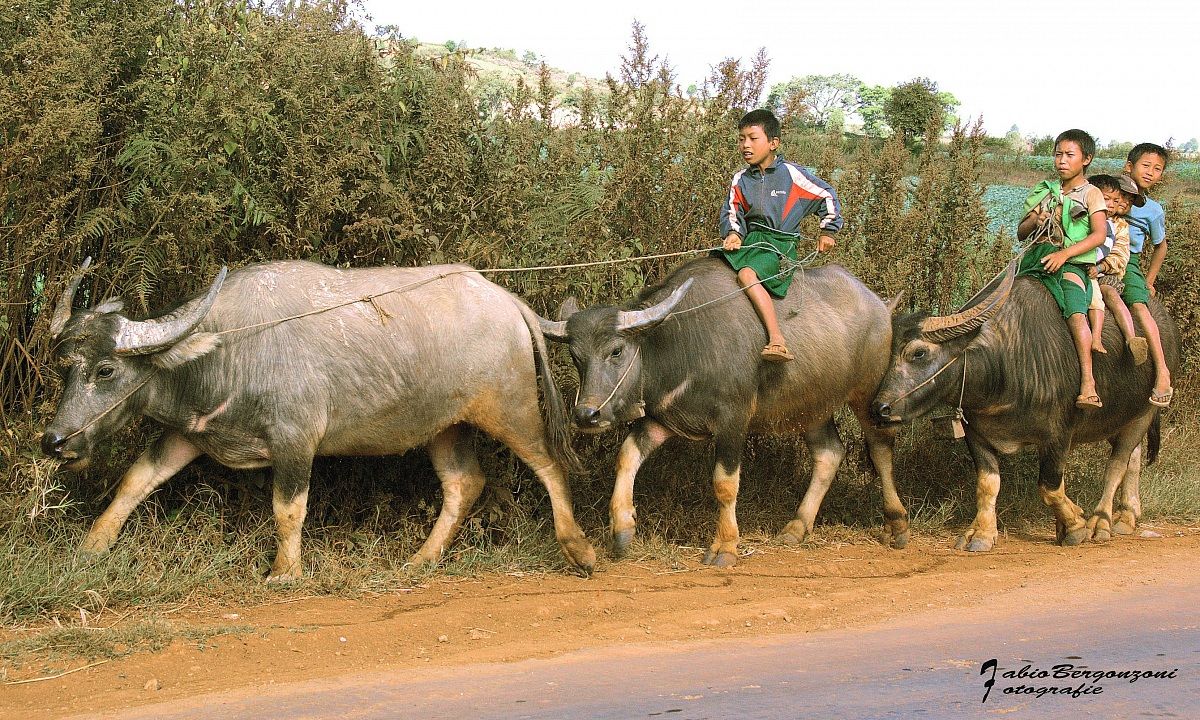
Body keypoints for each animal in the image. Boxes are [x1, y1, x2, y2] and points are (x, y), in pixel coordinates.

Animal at [40, 259, 596, 581]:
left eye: (106, 369)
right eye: (66, 368)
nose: (54, 441)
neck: (230, 350)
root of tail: (507, 302)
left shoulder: (295, 442)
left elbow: (288, 508)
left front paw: (284, 572)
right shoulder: (187, 434)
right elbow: (135, 480)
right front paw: (92, 548)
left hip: (510, 407)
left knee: (550, 464)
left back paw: (580, 549)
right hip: (443, 426)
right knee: (465, 482)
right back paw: (421, 559)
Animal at [538, 257, 907, 567]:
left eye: (616, 351)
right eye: (576, 356)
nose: (587, 415)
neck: (681, 342)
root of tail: (878, 305)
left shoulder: (733, 422)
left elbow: (725, 484)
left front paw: (725, 547)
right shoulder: (661, 419)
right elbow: (626, 457)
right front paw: (622, 529)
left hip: (868, 393)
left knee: (881, 448)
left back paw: (897, 525)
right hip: (812, 406)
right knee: (829, 453)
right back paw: (796, 527)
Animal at [870, 266, 1180, 551]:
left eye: (919, 352)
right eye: (886, 352)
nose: (880, 409)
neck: (1006, 364)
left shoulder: (1058, 435)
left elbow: (1050, 487)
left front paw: (1075, 525)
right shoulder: (976, 435)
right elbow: (987, 484)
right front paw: (981, 534)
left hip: (1145, 412)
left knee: (1117, 464)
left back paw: (1100, 521)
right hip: (1125, 417)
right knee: (1133, 458)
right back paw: (1127, 516)